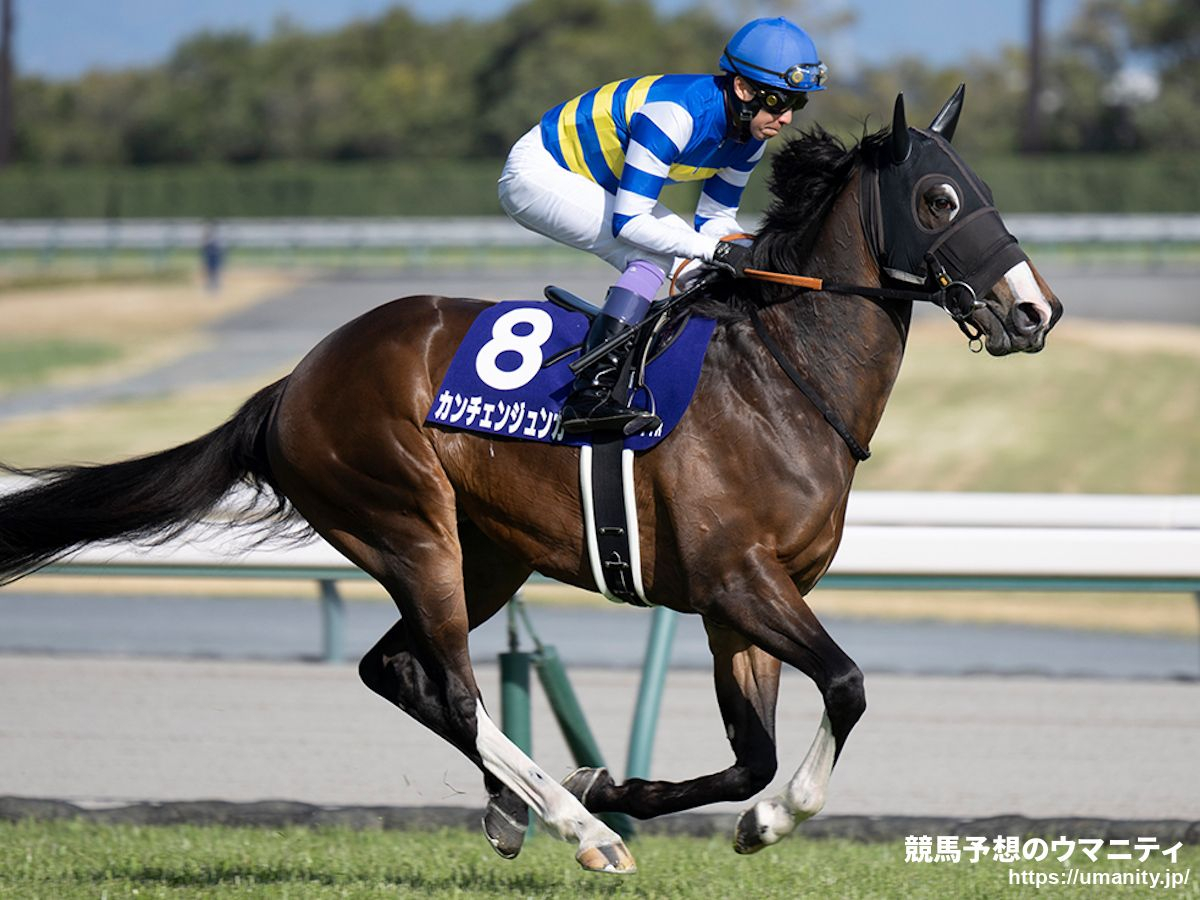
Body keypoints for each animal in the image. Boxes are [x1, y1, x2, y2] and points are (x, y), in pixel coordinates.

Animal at [0, 89, 1060, 874]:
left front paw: (630, 789)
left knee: (396, 671)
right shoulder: (737, 581)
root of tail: (290, 385)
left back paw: (524, 808)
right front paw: (743, 819)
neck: (780, 380)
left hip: (486, 554)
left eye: (982, 188)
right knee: (459, 692)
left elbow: (750, 753)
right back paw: (575, 829)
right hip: (408, 525)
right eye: (938, 201)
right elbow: (844, 685)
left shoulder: (748, 599)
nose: (1034, 311)